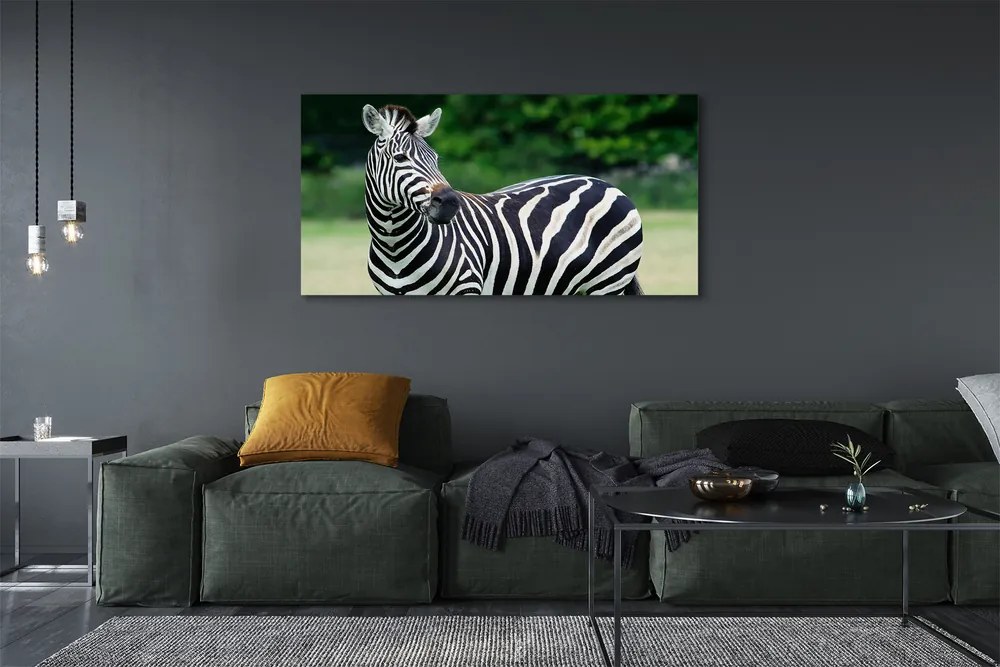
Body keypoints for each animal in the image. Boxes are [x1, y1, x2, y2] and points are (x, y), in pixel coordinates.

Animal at [361, 104, 644, 295]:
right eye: (400, 158)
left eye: (436, 159)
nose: (451, 203)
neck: (394, 246)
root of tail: (604, 183)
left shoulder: (467, 287)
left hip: (609, 282)